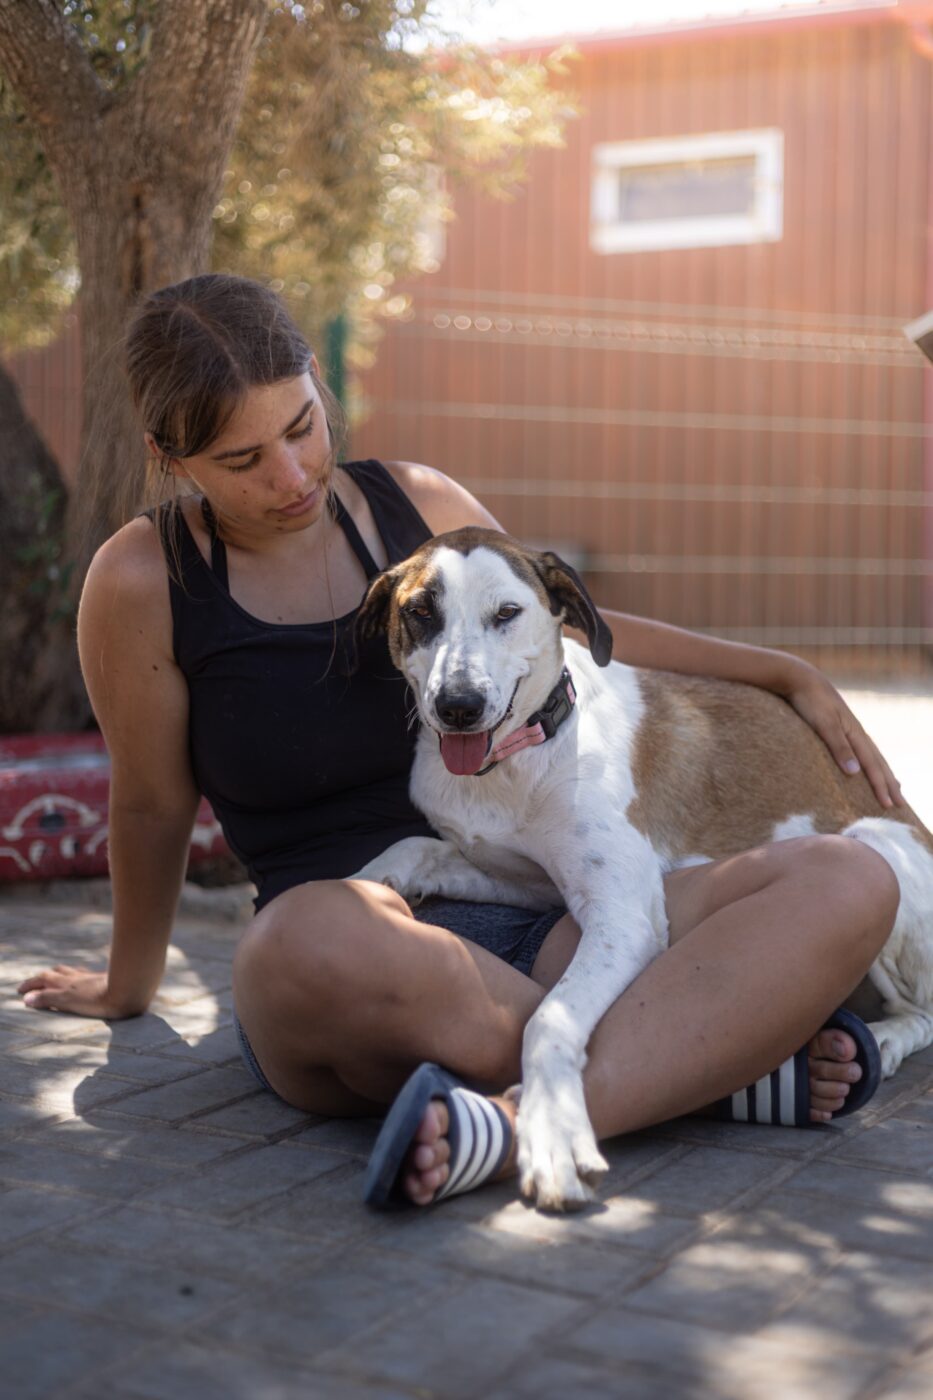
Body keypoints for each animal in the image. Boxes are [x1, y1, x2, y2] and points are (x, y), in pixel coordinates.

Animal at [353, 526, 933, 1210]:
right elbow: (411, 849)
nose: (459, 706)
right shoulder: (523, 879)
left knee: (925, 1012)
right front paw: (363, 886)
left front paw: (553, 1138)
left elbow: (549, 1018)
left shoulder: (622, 917)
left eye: (506, 613)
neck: (515, 763)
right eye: (421, 612)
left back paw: (885, 1042)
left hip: (871, 848)